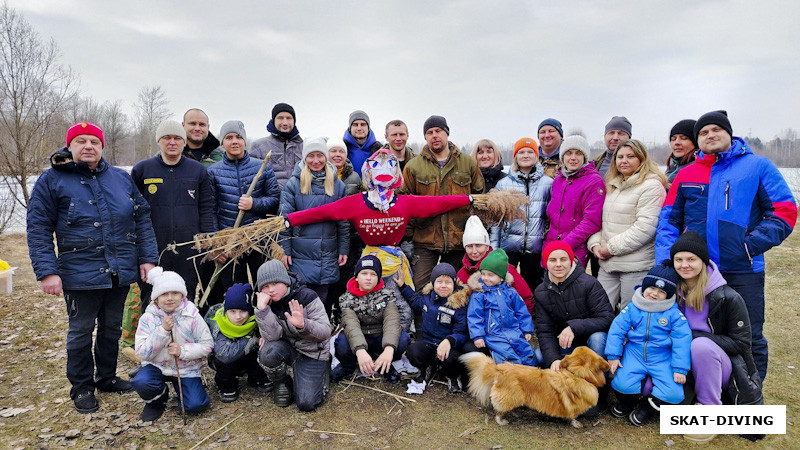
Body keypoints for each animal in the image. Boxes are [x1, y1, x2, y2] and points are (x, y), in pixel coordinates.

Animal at [460, 346, 608, 428]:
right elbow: (573, 416)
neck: (578, 374)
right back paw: (502, 421)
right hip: (512, 397)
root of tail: (500, 368)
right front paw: (576, 424)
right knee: (498, 411)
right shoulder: (573, 406)